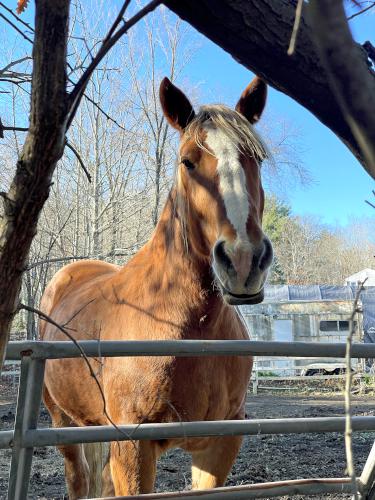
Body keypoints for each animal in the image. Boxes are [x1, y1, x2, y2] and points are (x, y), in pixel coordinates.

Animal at [40, 76, 274, 498]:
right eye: (188, 161)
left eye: (257, 159)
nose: (243, 259)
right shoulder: (133, 448)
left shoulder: (220, 444)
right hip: (61, 420)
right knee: (78, 478)